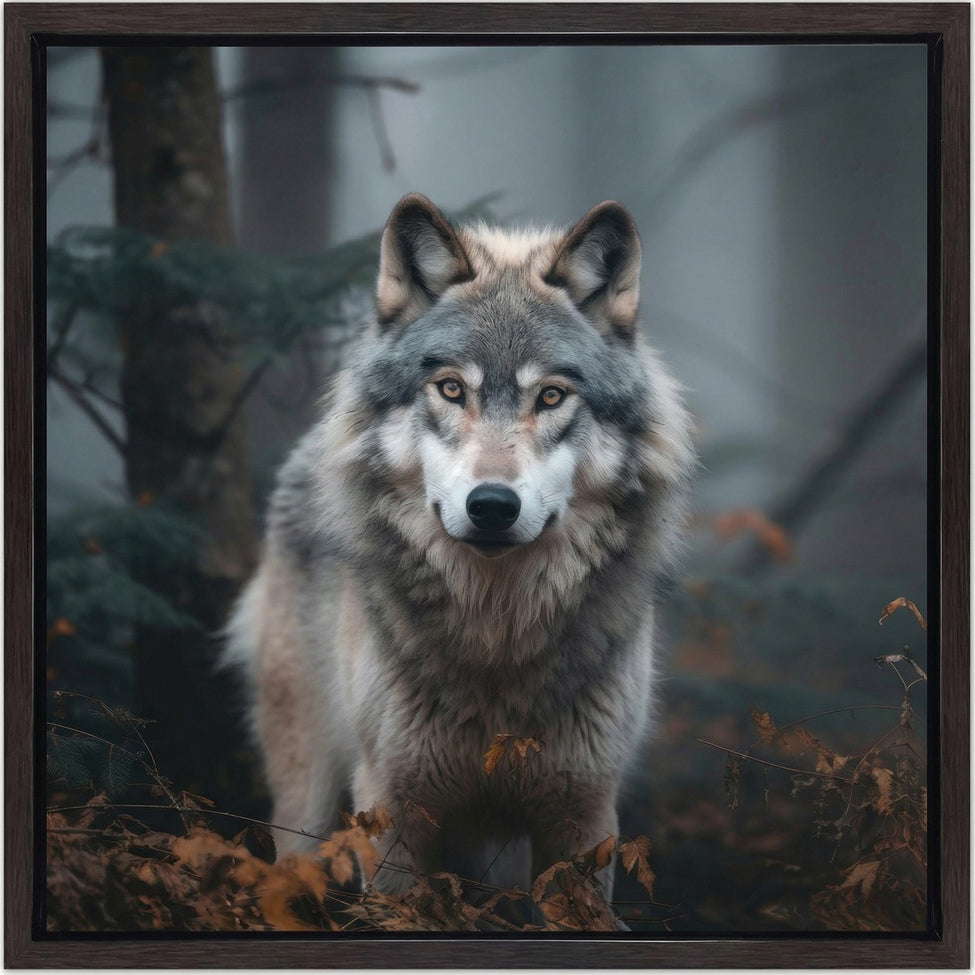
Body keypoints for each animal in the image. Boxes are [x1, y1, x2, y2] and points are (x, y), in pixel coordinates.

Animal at [224, 194, 695, 906]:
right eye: (451, 389)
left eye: (551, 396)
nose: (492, 505)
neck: (496, 635)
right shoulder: (392, 807)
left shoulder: (584, 815)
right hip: (308, 792)